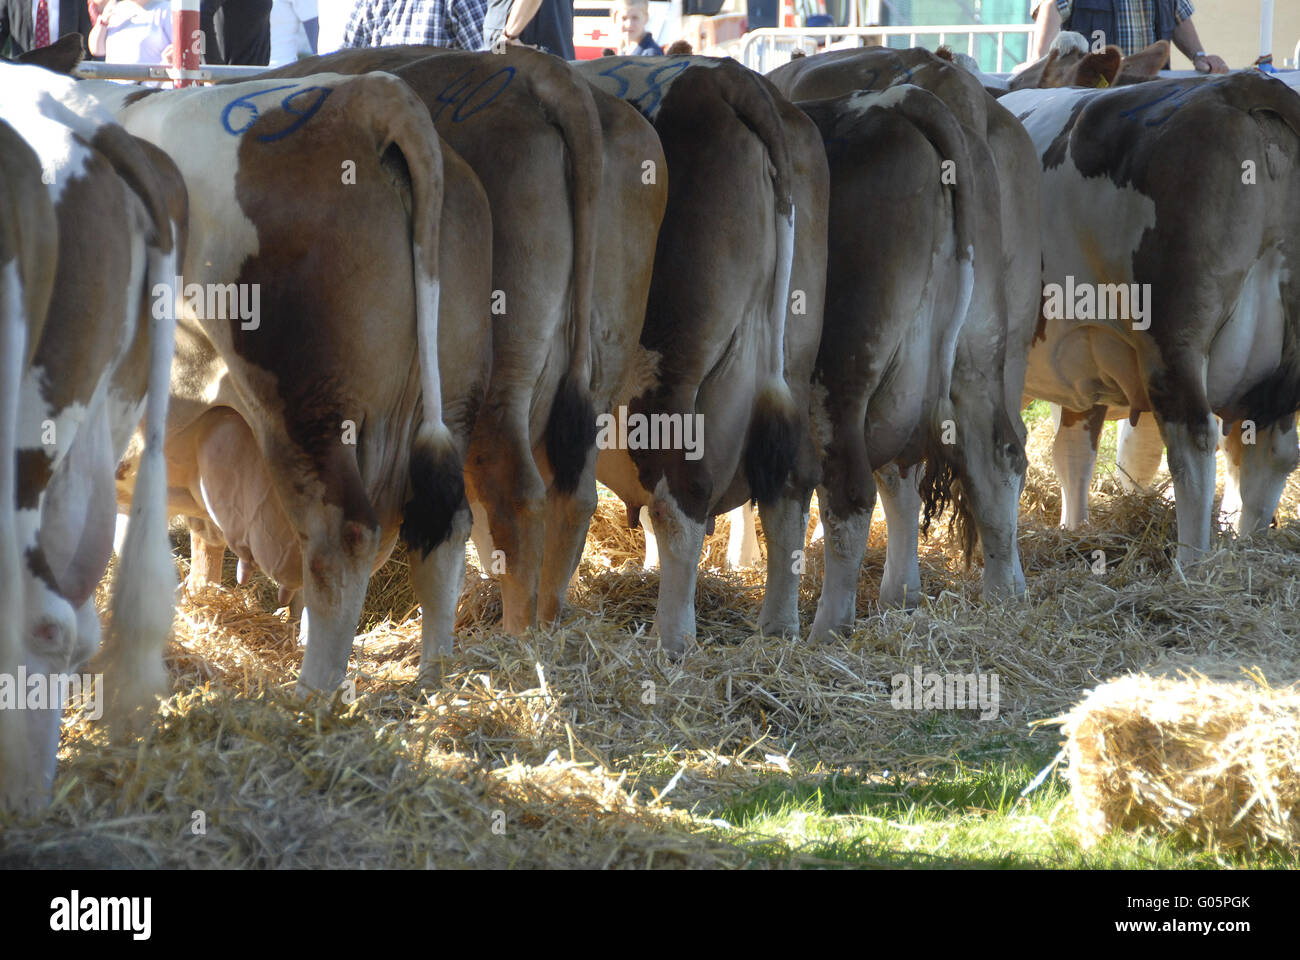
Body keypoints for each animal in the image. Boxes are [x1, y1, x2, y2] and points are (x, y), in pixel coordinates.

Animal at [82, 72, 491, 686]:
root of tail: (362, 95)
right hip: (451, 401)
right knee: (444, 529)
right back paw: (431, 680)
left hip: (302, 410)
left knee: (341, 538)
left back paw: (312, 692)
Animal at [574, 54, 826, 650]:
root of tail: (727, 76)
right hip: (791, 364)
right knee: (790, 487)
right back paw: (778, 626)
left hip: (667, 375)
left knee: (679, 501)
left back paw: (673, 639)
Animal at [764, 48, 1040, 629]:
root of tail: (904, 97)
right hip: (983, 351)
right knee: (996, 457)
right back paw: (998, 593)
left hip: (841, 368)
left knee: (849, 489)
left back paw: (825, 626)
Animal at [998, 74, 1300, 564]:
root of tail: (1237, 86)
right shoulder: (1085, 369)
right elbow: (1073, 453)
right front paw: (1074, 531)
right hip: (1282, 365)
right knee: (1272, 450)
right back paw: (1248, 549)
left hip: (1172, 338)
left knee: (1195, 441)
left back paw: (1191, 562)